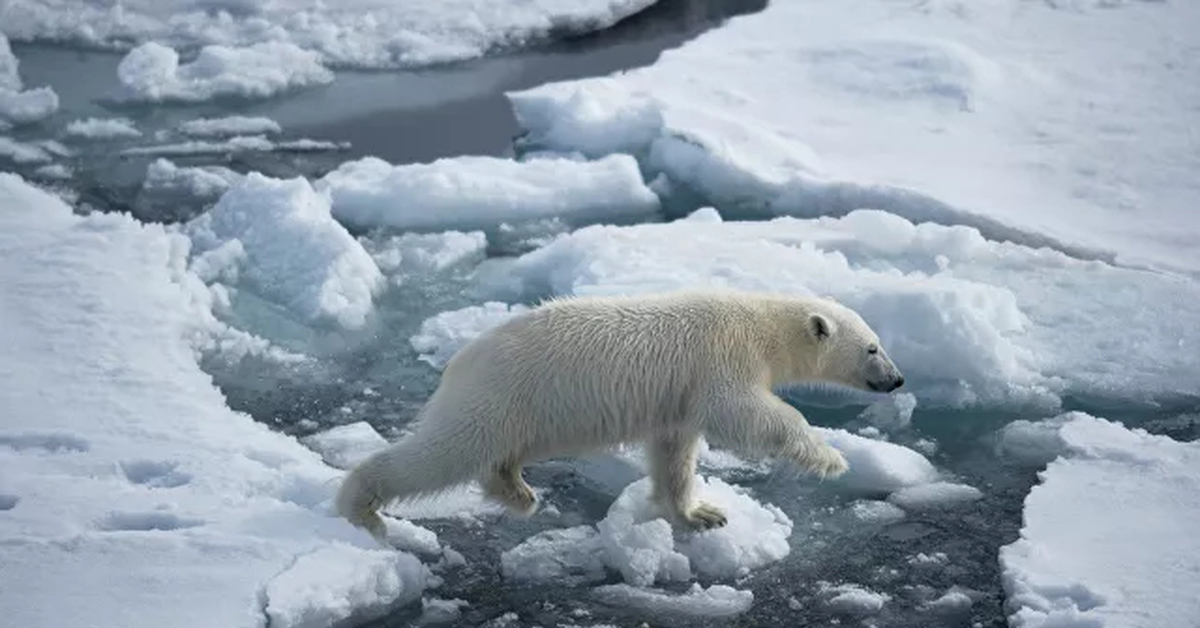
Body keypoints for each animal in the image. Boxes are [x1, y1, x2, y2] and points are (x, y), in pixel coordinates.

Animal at [336, 290, 902, 540]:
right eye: (872, 348)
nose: (897, 380)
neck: (760, 323)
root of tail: (461, 358)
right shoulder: (721, 359)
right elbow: (744, 412)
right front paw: (831, 458)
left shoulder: (679, 396)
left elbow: (674, 451)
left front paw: (700, 514)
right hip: (500, 394)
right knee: (445, 451)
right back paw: (361, 507)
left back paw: (520, 493)